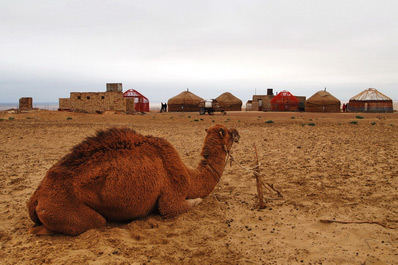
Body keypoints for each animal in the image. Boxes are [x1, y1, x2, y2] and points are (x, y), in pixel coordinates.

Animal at [28, 122, 241, 234]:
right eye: (228, 132)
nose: (238, 133)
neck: (189, 176)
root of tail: (36, 198)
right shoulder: (171, 199)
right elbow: (185, 204)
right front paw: (196, 200)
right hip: (65, 210)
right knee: (97, 222)